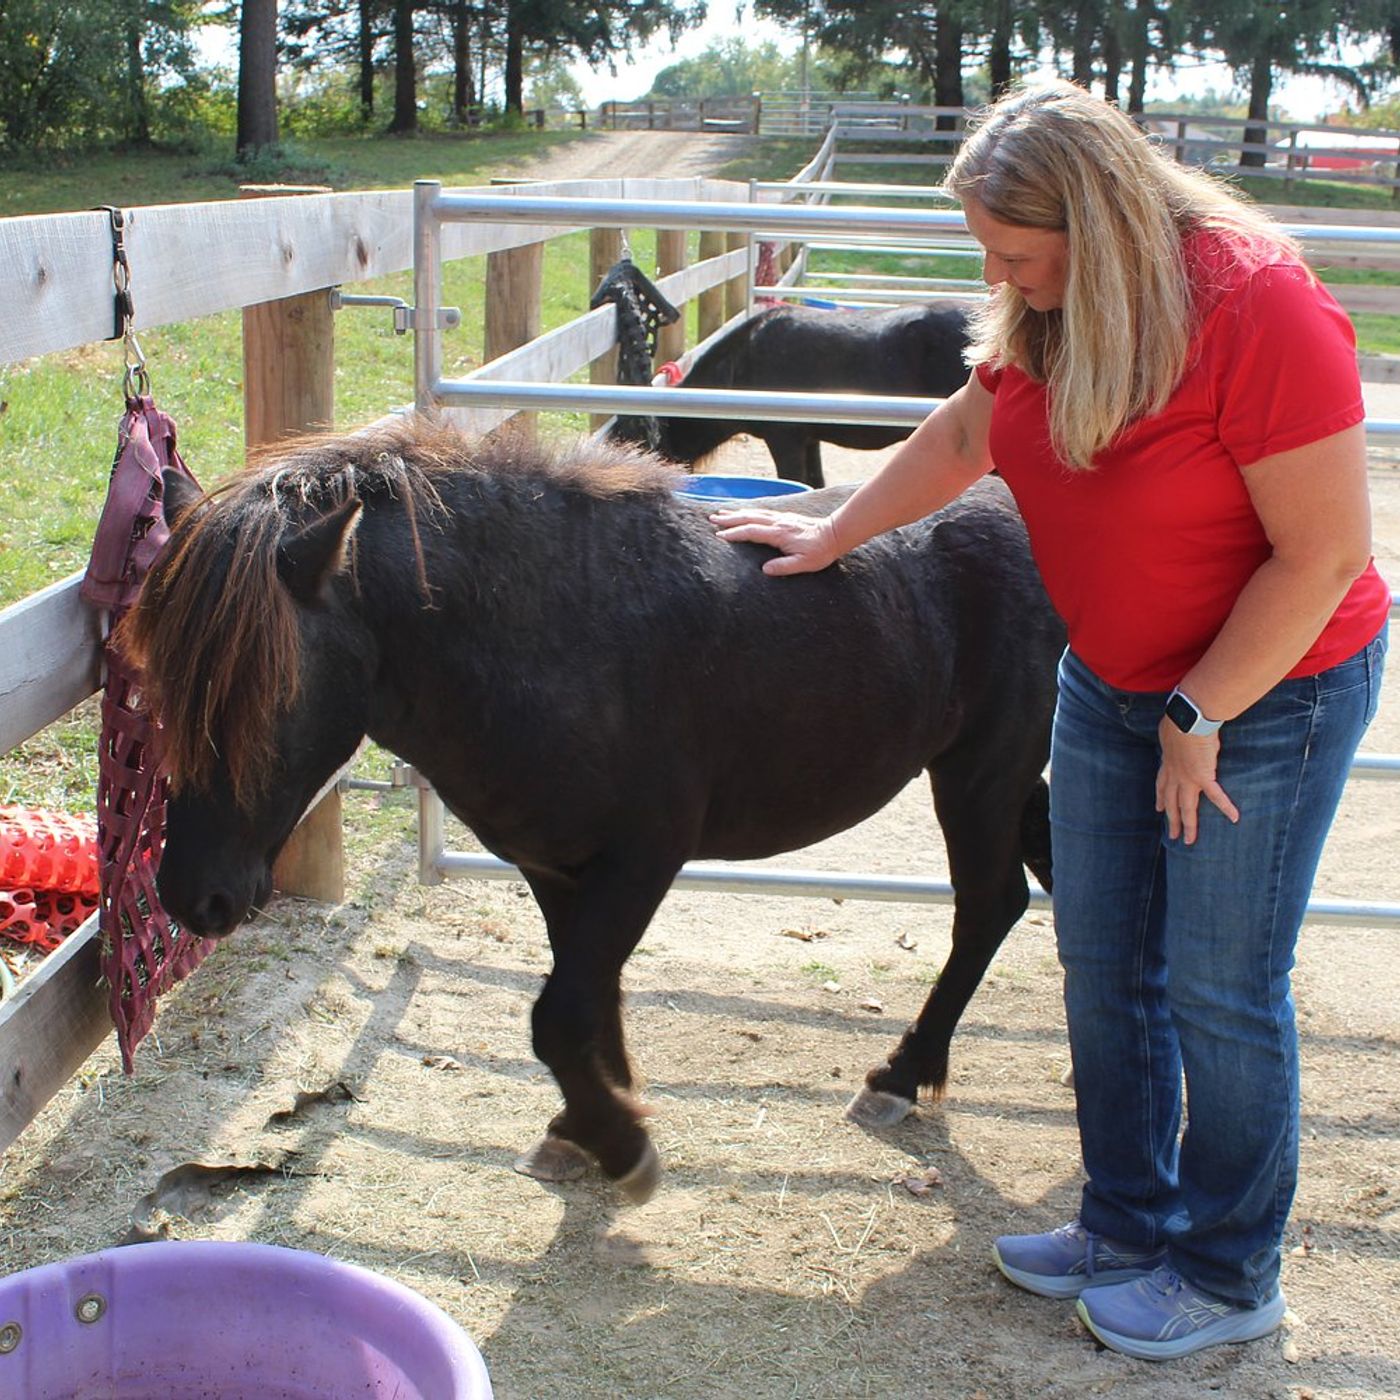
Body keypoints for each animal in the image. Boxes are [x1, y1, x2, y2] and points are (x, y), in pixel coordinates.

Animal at [118, 416, 1064, 1204]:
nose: (192, 895)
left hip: (980, 771)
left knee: (989, 905)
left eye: (265, 696)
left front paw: (620, 1144)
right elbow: (586, 999)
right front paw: (590, 1119)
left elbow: (560, 1015)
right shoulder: (554, 862)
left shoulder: (643, 857)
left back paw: (901, 1075)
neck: (554, 633)